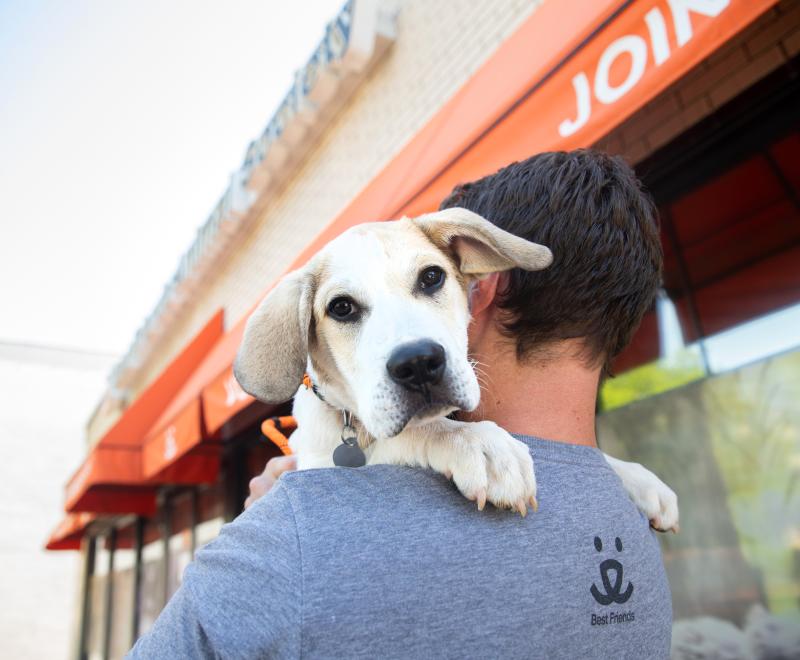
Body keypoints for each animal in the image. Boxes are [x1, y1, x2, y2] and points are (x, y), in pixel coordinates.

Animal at [234, 209, 680, 528]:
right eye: (341, 308)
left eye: (432, 277)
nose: (418, 363)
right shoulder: (319, 462)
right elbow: (415, 433)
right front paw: (480, 444)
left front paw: (639, 479)